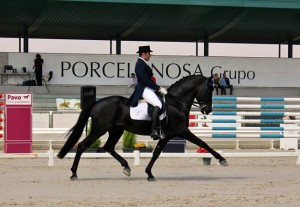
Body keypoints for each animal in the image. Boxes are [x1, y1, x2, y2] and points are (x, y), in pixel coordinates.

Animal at [57, 75, 227, 181]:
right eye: (209, 90)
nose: (207, 110)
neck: (176, 102)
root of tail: (97, 102)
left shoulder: (166, 135)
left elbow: (156, 153)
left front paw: (149, 174)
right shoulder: (182, 130)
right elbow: (202, 143)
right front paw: (222, 159)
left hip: (116, 130)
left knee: (108, 147)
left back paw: (126, 167)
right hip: (99, 130)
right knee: (82, 146)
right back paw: (73, 174)